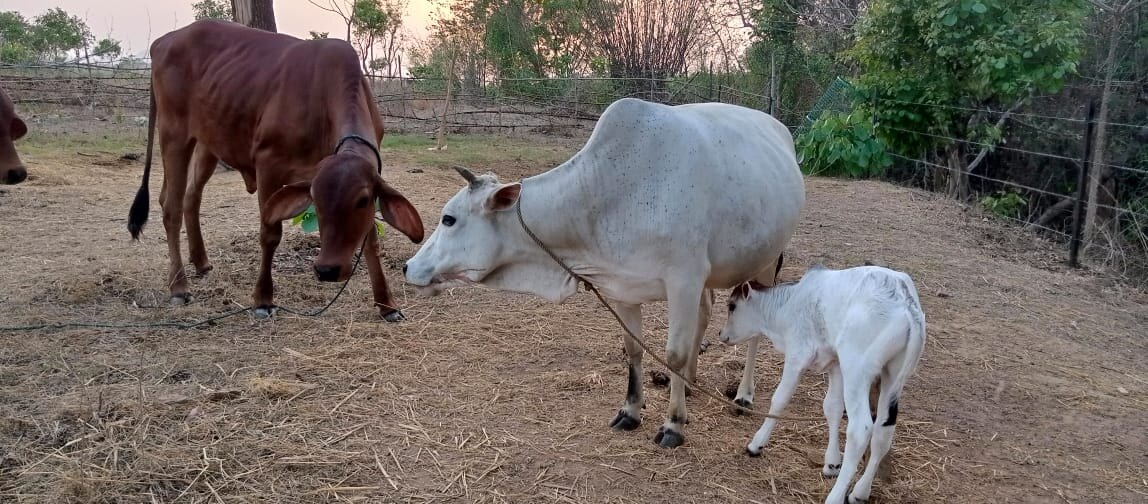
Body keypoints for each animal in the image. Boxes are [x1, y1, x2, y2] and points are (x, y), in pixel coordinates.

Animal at [126, 19, 424, 321]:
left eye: (362, 201)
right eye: (315, 199)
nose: (327, 270)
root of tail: (164, 41)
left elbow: (371, 240)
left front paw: (387, 304)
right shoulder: (268, 165)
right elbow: (270, 234)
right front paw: (263, 299)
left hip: (209, 141)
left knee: (191, 198)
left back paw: (201, 263)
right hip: (174, 133)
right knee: (170, 207)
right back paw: (179, 286)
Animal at [403, 97, 806, 448]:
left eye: (449, 219)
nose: (409, 267)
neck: (607, 195)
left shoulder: (683, 279)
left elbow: (673, 353)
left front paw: (673, 424)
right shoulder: (624, 286)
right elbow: (633, 349)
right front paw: (631, 411)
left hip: (767, 260)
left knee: (755, 329)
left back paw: (743, 396)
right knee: (704, 316)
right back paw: (690, 383)